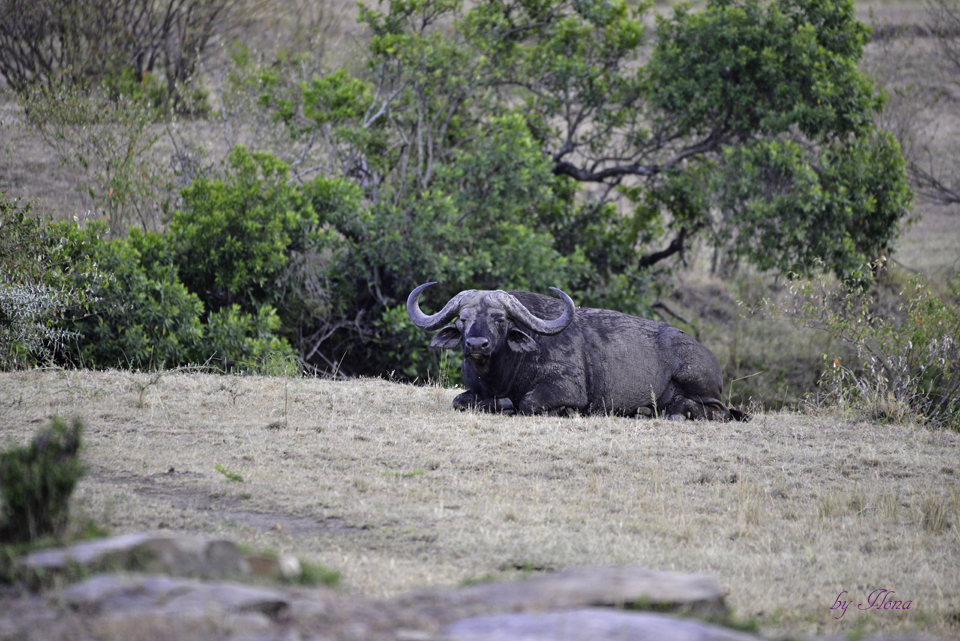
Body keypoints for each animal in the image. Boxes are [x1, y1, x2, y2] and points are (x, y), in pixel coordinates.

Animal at [404, 282, 744, 420]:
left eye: (499, 319)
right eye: (463, 319)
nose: (476, 345)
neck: (501, 374)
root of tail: (709, 356)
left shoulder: (565, 388)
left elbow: (527, 402)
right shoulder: (472, 391)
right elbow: (459, 401)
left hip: (698, 384)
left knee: (720, 412)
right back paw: (646, 411)